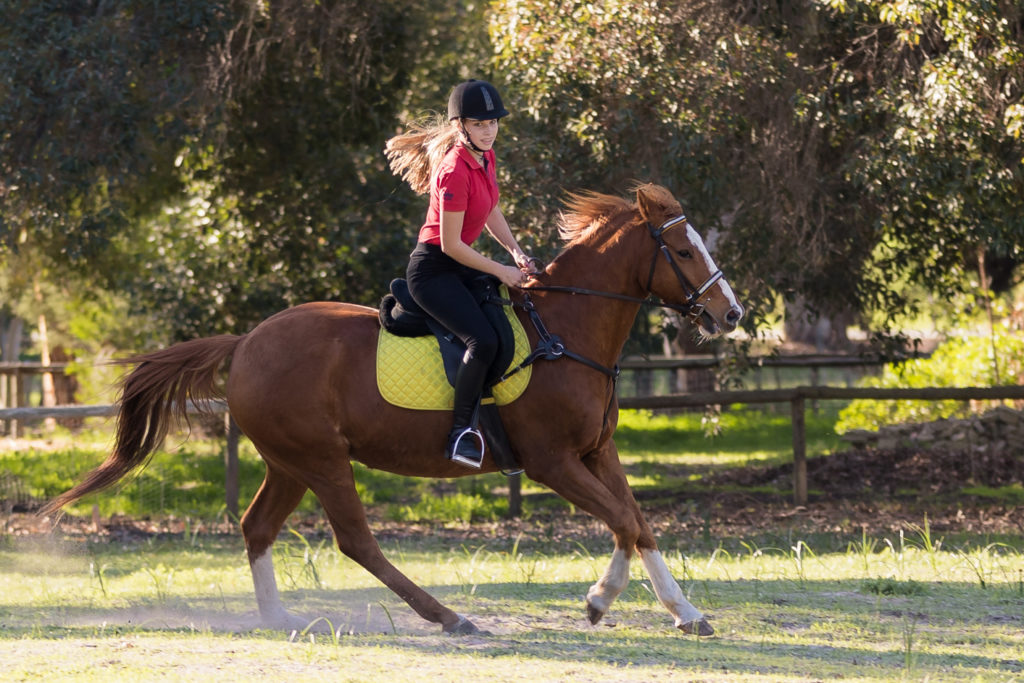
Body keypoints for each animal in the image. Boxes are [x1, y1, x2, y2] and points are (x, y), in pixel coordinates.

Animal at [39, 184, 745, 638]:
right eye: (684, 253)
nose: (731, 314)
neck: (564, 331)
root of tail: (246, 342)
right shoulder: (552, 462)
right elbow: (622, 520)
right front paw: (599, 601)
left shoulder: (598, 452)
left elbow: (638, 522)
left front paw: (685, 613)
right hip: (323, 460)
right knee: (356, 540)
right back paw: (450, 617)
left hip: (290, 463)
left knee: (257, 527)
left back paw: (278, 618)